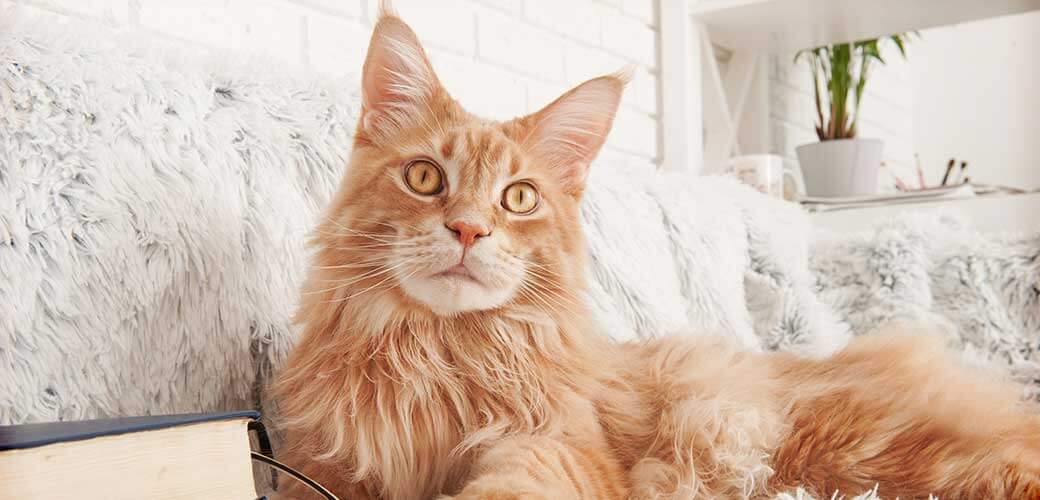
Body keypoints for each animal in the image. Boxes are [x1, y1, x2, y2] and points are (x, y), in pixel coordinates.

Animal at [274, 5, 1040, 496]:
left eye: (518, 197)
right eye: (426, 178)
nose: (466, 230)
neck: (434, 354)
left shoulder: (558, 446)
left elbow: (509, 485)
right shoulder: (320, 465)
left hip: (861, 453)